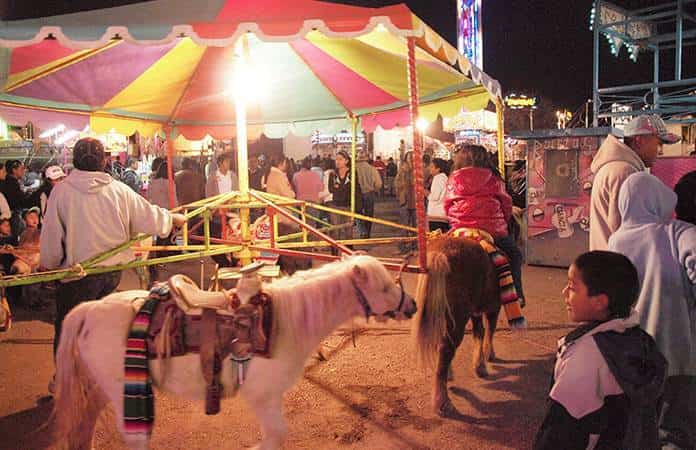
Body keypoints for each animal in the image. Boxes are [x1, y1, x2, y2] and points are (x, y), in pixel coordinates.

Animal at [54, 255, 416, 448]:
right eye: (385, 287)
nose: (411, 305)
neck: (285, 320)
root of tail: (88, 309)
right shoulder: (264, 397)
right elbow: (275, 436)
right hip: (124, 394)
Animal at [414, 234, 500, 416]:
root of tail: (439, 254)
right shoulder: (493, 307)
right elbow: (489, 331)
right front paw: (488, 356)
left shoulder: (475, 312)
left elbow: (479, 333)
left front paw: (480, 365)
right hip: (458, 318)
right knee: (446, 349)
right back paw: (443, 402)